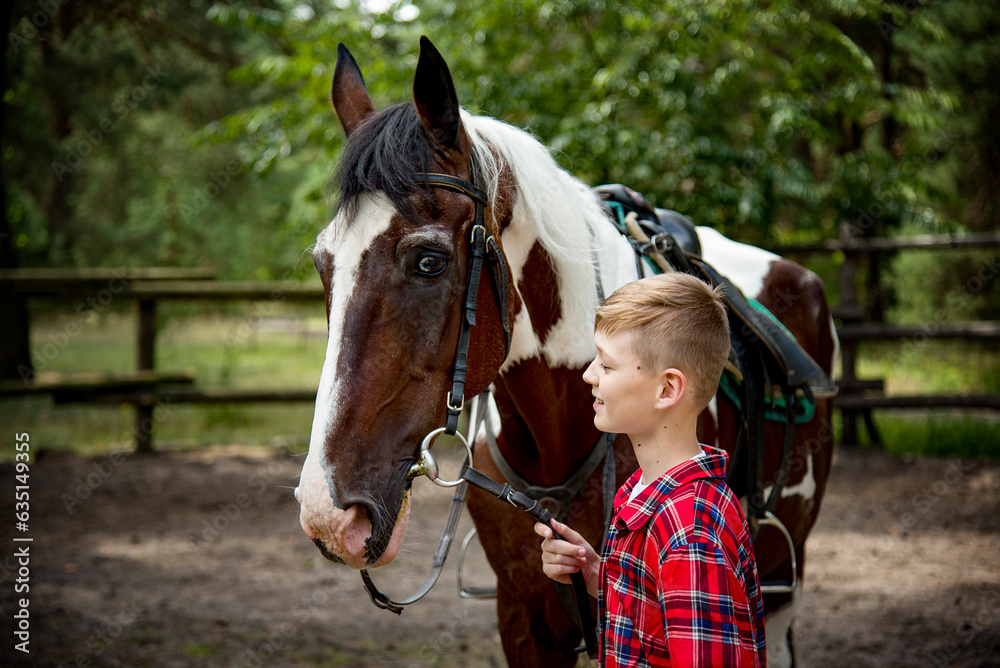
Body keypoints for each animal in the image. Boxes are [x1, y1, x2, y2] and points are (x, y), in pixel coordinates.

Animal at [295, 37, 838, 667]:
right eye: (323, 264)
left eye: (429, 261)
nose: (328, 513)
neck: (562, 426)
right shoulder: (522, 616)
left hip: (779, 587)